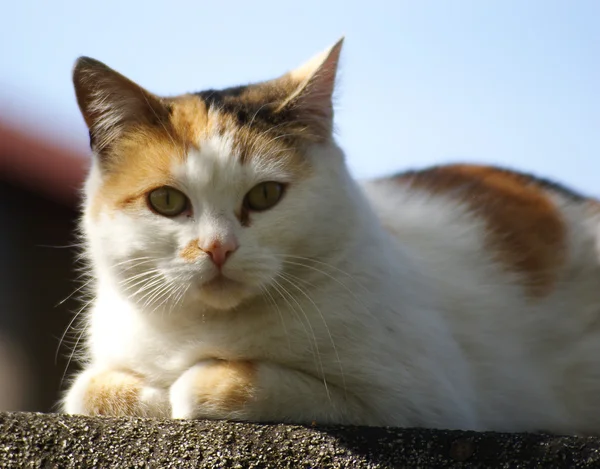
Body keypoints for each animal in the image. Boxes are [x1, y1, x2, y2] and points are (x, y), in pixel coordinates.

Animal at [62, 38, 600, 434]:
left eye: (265, 195)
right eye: (168, 202)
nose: (218, 248)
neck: (205, 328)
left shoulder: (420, 403)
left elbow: (213, 386)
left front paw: (184, 387)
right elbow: (86, 390)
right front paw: (149, 394)